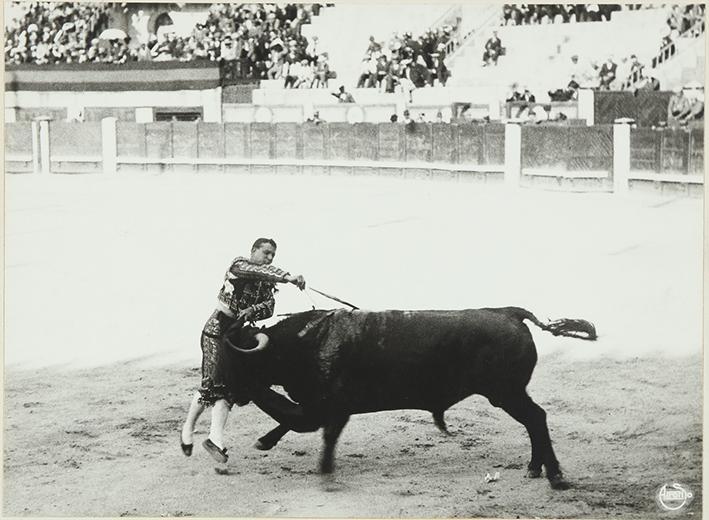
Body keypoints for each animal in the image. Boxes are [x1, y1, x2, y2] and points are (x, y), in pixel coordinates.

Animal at [223, 304, 596, 488]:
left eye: (242, 362)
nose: (222, 391)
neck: (306, 342)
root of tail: (510, 312)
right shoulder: (321, 406)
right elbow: (290, 417)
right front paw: (265, 441)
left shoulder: (332, 408)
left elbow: (302, 422)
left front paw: (325, 470)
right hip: (509, 393)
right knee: (534, 421)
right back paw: (535, 469)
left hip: (506, 392)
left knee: (536, 418)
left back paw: (555, 476)